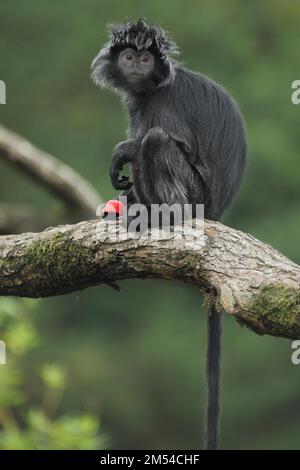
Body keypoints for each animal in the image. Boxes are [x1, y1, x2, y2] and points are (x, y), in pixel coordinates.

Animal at [91, 19, 246, 452]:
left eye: (146, 58)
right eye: (130, 56)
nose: (136, 65)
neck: (147, 92)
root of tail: (217, 213)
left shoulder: (163, 105)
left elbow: (168, 141)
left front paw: (123, 150)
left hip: (195, 197)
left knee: (155, 141)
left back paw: (161, 214)